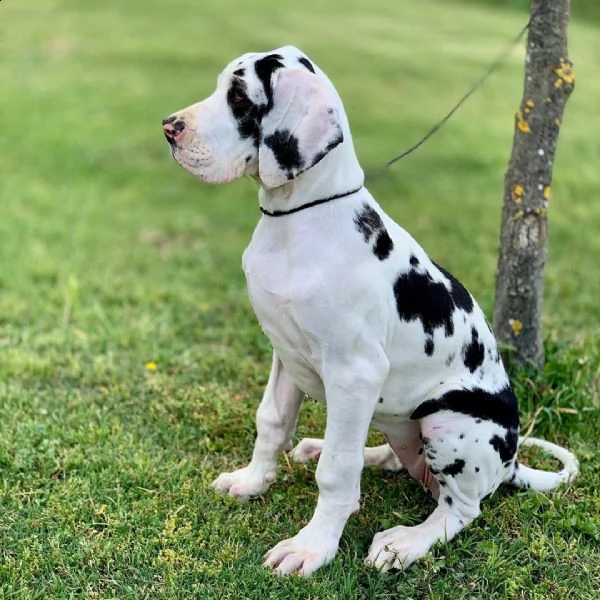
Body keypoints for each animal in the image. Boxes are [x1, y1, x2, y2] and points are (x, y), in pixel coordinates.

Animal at [162, 45, 580, 576]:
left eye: (238, 97)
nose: (169, 127)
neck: (297, 219)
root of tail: (511, 464)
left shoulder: (354, 372)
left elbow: (337, 471)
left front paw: (312, 547)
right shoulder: (284, 352)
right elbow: (271, 422)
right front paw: (253, 481)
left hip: (451, 423)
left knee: (460, 507)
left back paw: (407, 541)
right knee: (398, 459)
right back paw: (335, 448)